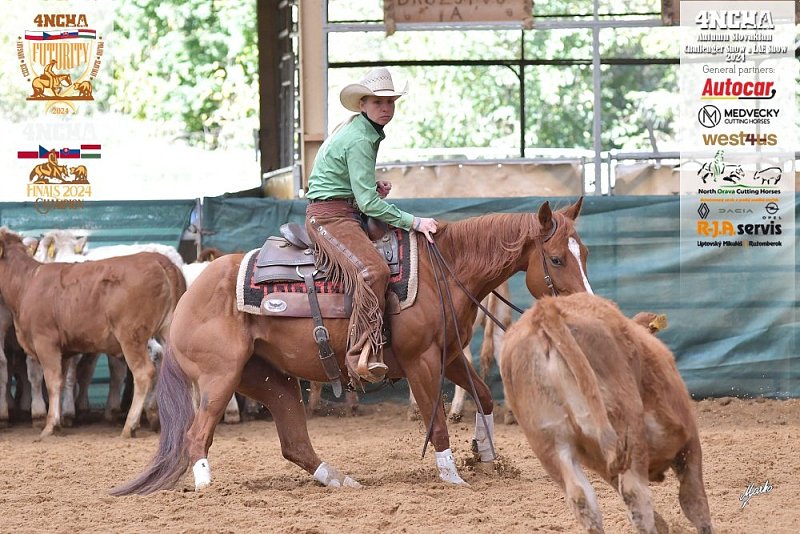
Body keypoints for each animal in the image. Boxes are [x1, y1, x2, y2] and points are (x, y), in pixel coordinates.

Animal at [0, 229, 186, 438]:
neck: (27, 282)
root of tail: (160, 261)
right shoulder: (64, 351)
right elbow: (61, 381)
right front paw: (59, 422)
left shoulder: (45, 342)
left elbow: (52, 381)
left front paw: (49, 425)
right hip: (168, 331)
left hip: (131, 336)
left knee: (144, 373)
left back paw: (130, 425)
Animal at [111, 198, 591, 495]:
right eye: (556, 259)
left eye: (583, 252)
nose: (586, 305)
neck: (445, 270)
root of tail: (188, 293)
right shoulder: (421, 360)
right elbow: (435, 421)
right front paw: (452, 476)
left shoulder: (450, 355)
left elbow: (486, 396)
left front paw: (486, 453)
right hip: (219, 377)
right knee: (197, 435)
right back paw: (206, 486)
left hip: (269, 378)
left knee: (294, 443)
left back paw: (340, 480)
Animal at [500, 293, 712, 534]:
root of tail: (545, 311)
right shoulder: (689, 441)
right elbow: (694, 502)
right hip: (626, 426)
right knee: (635, 494)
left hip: (550, 442)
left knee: (581, 500)